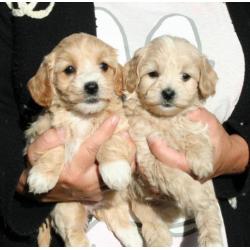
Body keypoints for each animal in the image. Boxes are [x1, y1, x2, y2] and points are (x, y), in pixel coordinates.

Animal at [24, 32, 140, 246]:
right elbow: (55, 149)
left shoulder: (119, 125)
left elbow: (111, 142)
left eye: (104, 66)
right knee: (74, 235)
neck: (82, 117)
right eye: (69, 69)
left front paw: (115, 170)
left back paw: (134, 239)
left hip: (113, 199)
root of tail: (93, 207)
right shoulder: (44, 129)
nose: (92, 86)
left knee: (121, 222)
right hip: (68, 208)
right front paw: (42, 177)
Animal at [121, 36, 223, 247]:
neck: (165, 120)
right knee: (149, 217)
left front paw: (201, 161)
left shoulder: (192, 121)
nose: (168, 93)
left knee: (210, 210)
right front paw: (195, 192)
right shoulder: (145, 153)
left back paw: (211, 239)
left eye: (185, 76)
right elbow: (173, 174)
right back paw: (159, 238)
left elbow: (196, 136)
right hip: (138, 198)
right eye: (153, 74)